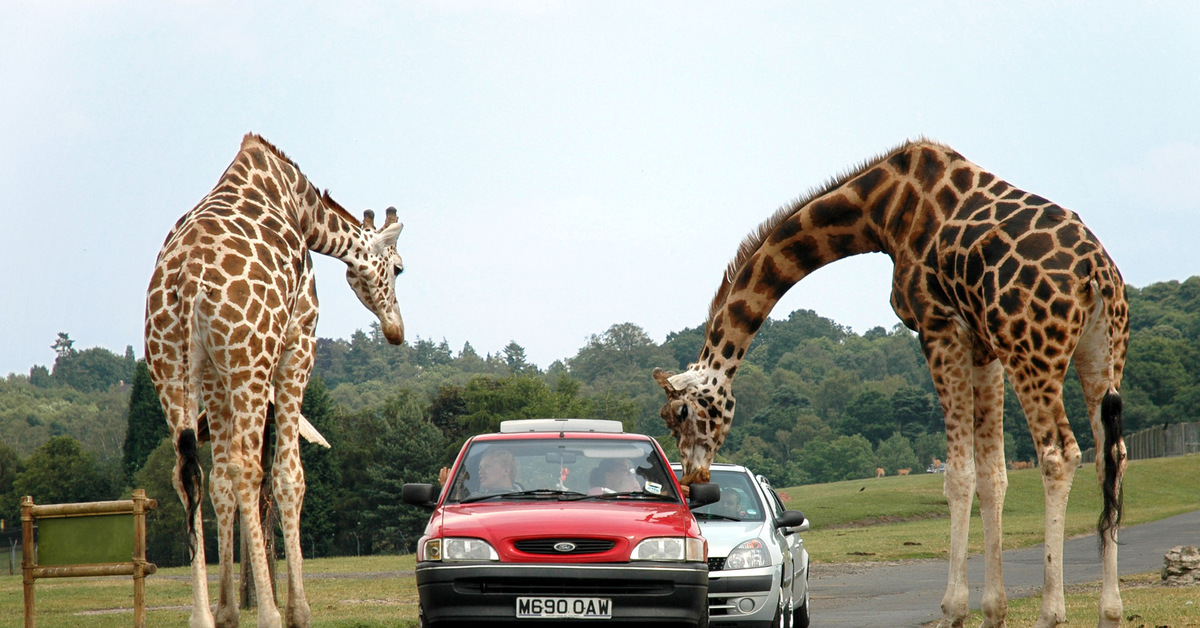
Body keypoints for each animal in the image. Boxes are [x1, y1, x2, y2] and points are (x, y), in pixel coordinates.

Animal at [144, 133, 408, 628]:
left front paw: (227, 610)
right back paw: (268, 613)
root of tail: (186, 285)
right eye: (399, 267)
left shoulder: (214, 373)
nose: (396, 329)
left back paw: (202, 616)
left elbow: (219, 482)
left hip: (170, 367)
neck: (302, 206)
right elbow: (290, 475)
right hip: (251, 360)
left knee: (190, 473)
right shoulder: (298, 342)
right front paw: (297, 609)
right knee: (248, 467)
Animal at [652, 141, 1128, 628]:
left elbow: (958, 474)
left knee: (1059, 453)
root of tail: (1097, 274)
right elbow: (992, 475)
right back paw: (1110, 610)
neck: (880, 210)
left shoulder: (939, 326)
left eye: (681, 413)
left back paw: (1051, 613)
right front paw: (993, 611)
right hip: (1101, 351)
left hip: (1031, 350)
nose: (694, 478)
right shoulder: (982, 345)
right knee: (1111, 456)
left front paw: (953, 609)